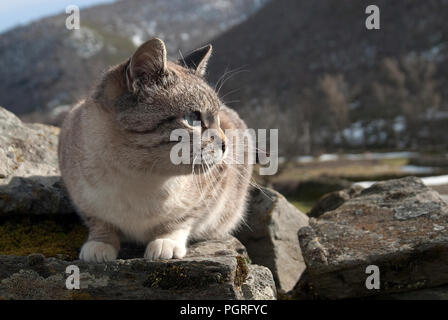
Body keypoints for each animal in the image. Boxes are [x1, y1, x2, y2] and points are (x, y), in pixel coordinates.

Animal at [57, 38, 254, 262]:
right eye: (192, 118)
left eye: (218, 120)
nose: (224, 145)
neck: (136, 175)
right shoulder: (82, 198)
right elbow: (100, 223)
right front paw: (99, 246)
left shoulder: (212, 189)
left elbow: (179, 220)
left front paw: (164, 244)